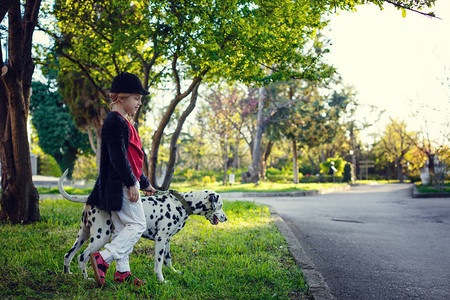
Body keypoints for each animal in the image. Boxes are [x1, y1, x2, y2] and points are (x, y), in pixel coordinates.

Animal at [58, 170, 227, 282]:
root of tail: (90, 199)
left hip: (83, 235)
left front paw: (174, 272)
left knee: (68, 255)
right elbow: (158, 264)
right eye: (220, 205)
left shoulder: (167, 241)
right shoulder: (160, 240)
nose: (225, 218)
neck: (181, 203)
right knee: (82, 257)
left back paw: (68, 274)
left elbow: (168, 260)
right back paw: (87, 279)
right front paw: (162, 281)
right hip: (101, 236)